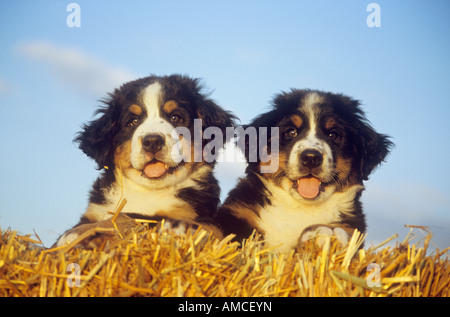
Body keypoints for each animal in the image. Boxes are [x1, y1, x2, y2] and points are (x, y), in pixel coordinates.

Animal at [56, 74, 236, 247]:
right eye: (133, 121)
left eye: (175, 117)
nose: (152, 141)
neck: (146, 191)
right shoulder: (95, 210)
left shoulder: (190, 216)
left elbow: (128, 216)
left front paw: (75, 233)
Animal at [216, 89, 392, 252]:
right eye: (291, 132)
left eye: (333, 134)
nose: (311, 158)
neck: (300, 208)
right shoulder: (240, 213)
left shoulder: (352, 227)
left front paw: (326, 233)